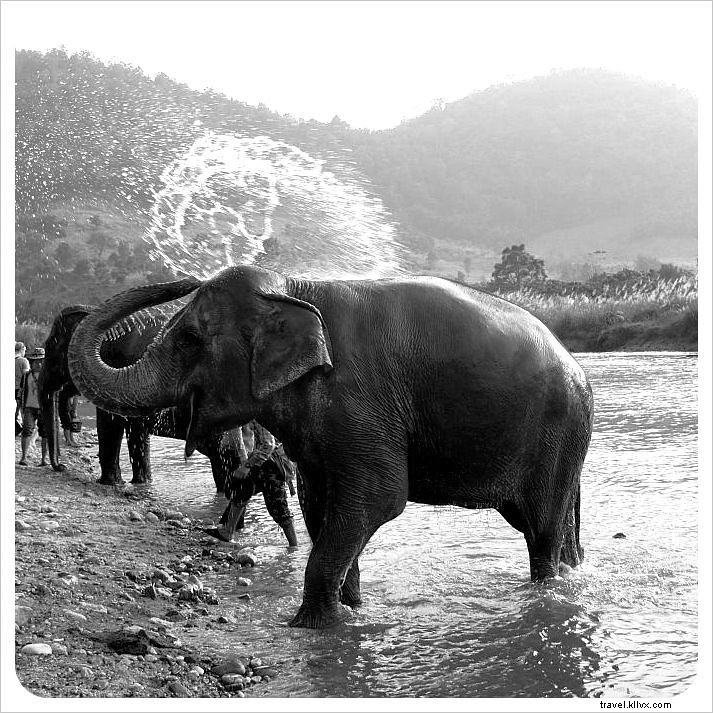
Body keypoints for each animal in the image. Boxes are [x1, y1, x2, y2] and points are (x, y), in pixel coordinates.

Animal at [39, 304, 299, 546]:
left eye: (51, 346)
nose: (60, 466)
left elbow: (110, 424)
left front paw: (109, 483)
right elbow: (137, 434)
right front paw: (139, 484)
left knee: (232, 469)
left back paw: (227, 529)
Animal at [68, 266, 594, 629]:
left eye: (189, 339)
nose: (186, 276)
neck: (297, 289)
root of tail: (577, 366)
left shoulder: (363, 404)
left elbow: (378, 499)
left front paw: (311, 627)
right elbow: (321, 507)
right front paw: (351, 610)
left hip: (557, 433)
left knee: (542, 530)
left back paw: (549, 591)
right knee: (549, 525)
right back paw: (571, 574)